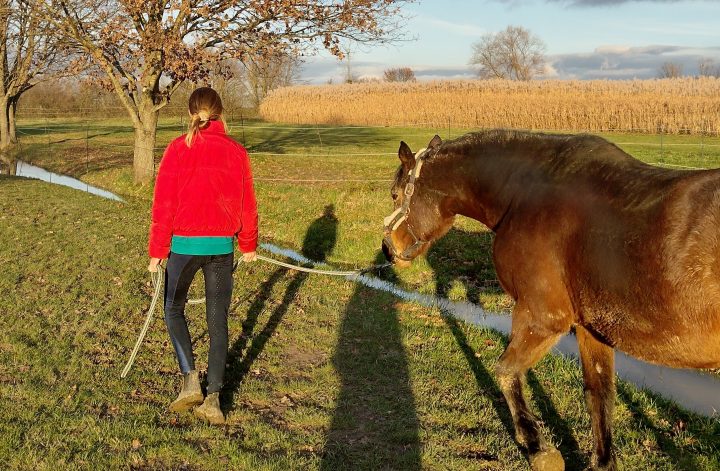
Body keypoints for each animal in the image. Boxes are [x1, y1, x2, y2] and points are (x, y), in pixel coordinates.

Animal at [380, 131, 720, 471]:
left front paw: (537, 447)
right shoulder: (590, 329)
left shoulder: (541, 318)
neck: (525, 196)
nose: (386, 247)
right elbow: (599, 394)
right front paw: (601, 461)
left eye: (396, 194)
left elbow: (506, 371)